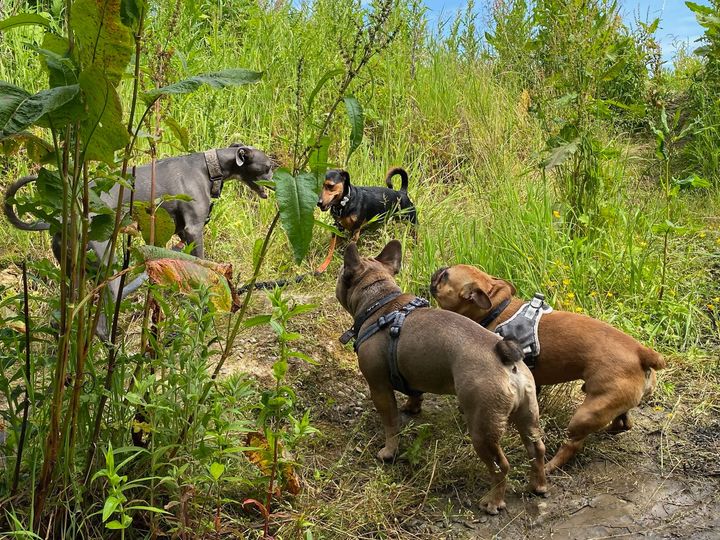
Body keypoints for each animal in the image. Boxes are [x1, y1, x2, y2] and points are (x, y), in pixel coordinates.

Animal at [4, 142, 274, 338]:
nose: (276, 183)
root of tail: (62, 219)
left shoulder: (181, 234)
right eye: (268, 166)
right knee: (103, 319)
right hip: (107, 264)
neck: (208, 167)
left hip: (73, 270)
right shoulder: (194, 230)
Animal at [336, 242, 544, 516]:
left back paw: (493, 501)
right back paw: (538, 485)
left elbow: (391, 423)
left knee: (501, 466)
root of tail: (507, 359)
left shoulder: (379, 387)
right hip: (527, 415)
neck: (381, 303)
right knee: (536, 449)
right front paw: (412, 407)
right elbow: (415, 393)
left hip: (483, 427)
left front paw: (389, 452)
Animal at [424, 264, 668, 472]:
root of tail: (641, 352)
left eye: (445, 276)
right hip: (612, 400)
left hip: (586, 413)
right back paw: (608, 430)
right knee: (623, 421)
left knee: (572, 444)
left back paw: (551, 466)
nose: (438, 269)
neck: (496, 309)